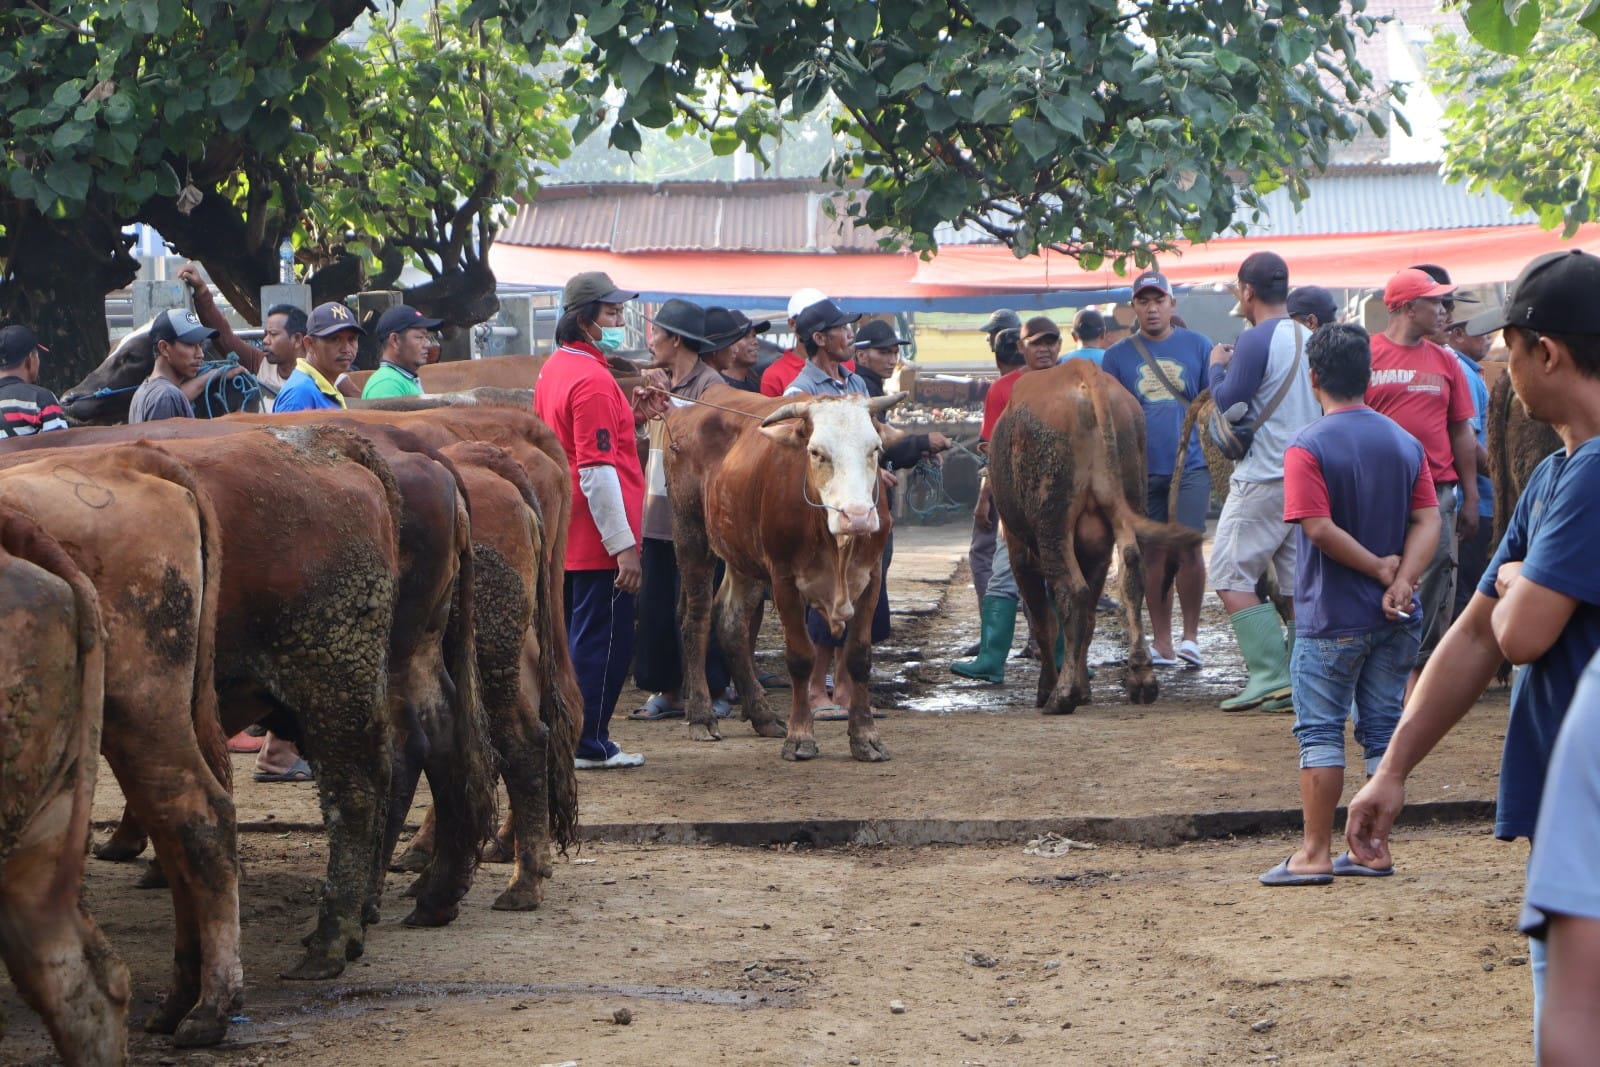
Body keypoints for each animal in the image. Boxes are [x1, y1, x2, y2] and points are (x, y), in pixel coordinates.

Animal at [665, 390, 915, 758]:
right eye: (817, 452)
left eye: (875, 449)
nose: (857, 516)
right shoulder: (784, 580)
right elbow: (801, 658)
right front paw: (801, 736)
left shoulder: (870, 579)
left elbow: (858, 657)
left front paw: (866, 736)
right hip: (691, 535)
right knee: (695, 620)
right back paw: (701, 716)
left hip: (744, 558)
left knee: (730, 623)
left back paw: (762, 715)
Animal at [992, 361, 1203, 716]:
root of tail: (1080, 369)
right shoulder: (1097, 553)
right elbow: (1088, 620)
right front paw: (1083, 690)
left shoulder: (1019, 552)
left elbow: (1044, 623)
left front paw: (1051, 689)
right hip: (1127, 501)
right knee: (1131, 575)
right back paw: (1141, 678)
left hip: (1052, 521)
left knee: (1071, 592)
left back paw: (1061, 696)